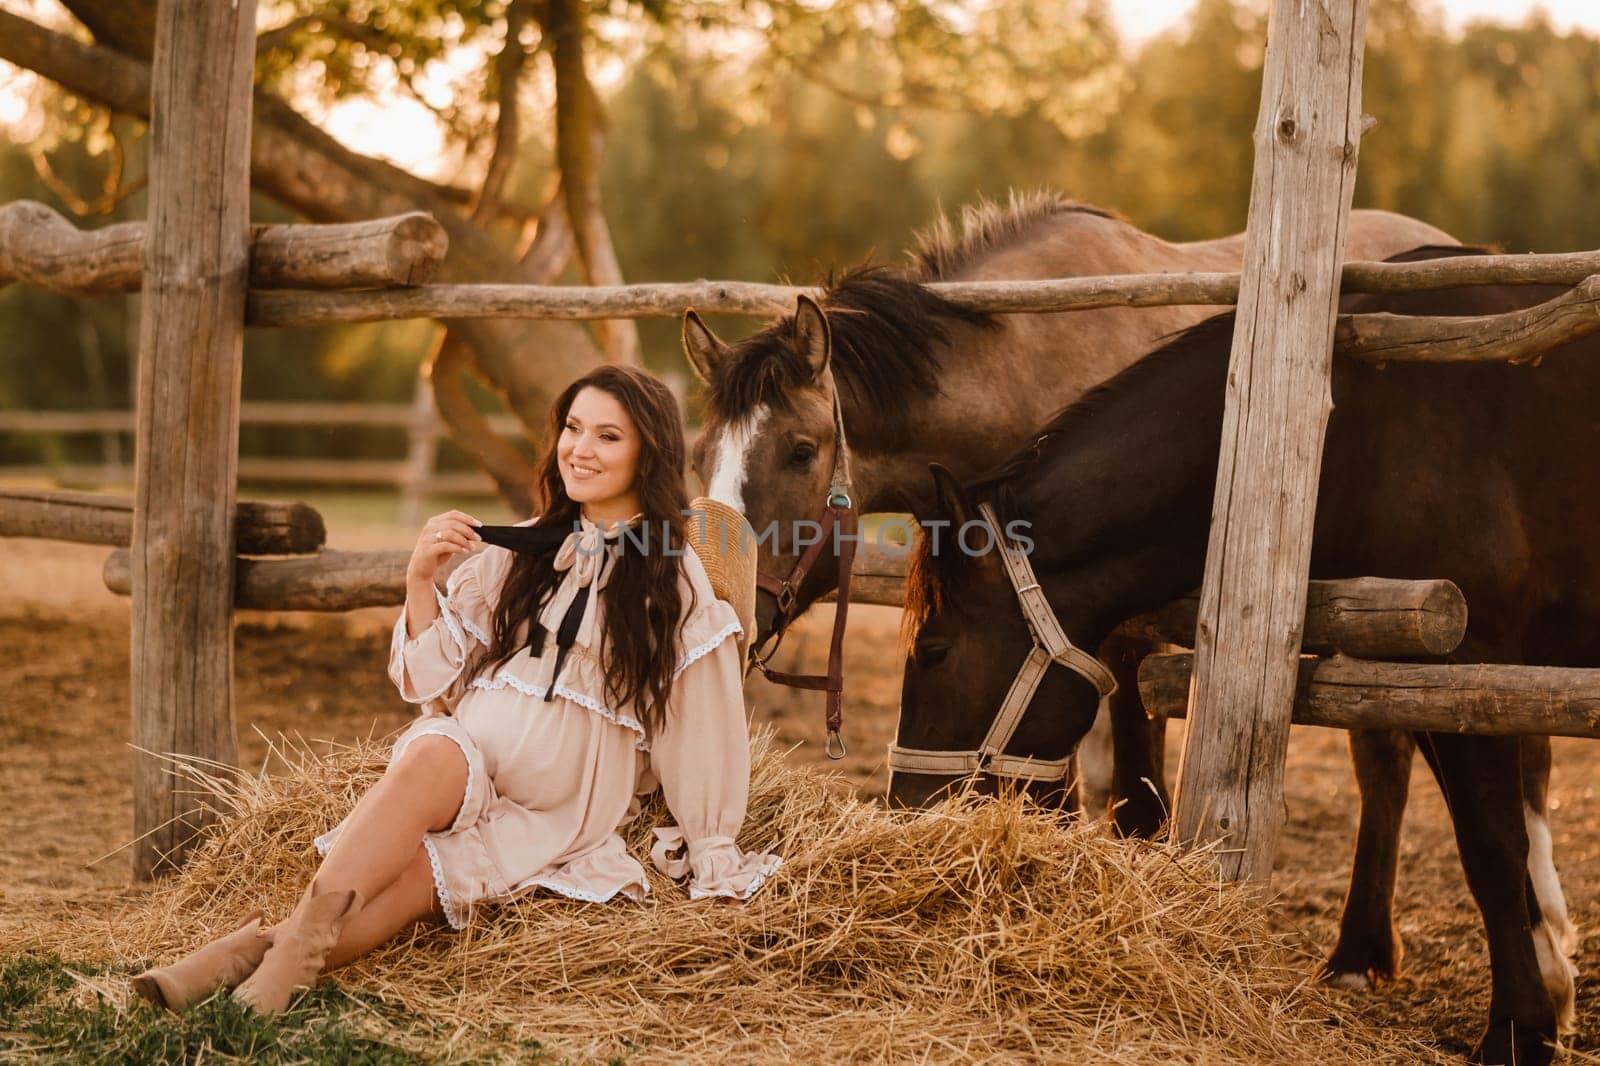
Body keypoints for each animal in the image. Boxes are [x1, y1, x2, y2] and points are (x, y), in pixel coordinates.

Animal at [889, 244, 1587, 1056]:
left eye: (936, 649)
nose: (906, 814)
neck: (1353, 419)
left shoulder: (1464, 658)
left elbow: (1491, 849)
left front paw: (1519, 1031)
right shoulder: (1427, 676)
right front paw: (1547, 995)